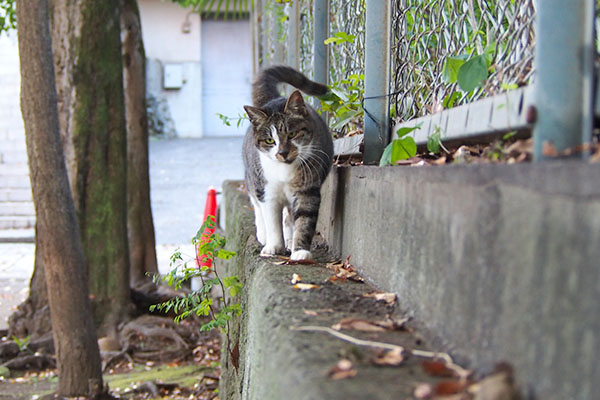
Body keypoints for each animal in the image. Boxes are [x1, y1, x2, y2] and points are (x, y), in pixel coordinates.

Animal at [241, 65, 332, 260]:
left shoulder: (307, 189)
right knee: (257, 204)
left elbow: (304, 220)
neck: (284, 170)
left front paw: (300, 250)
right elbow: (272, 221)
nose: (282, 153)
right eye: (270, 140)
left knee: (288, 217)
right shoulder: (267, 191)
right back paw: (263, 234)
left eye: (292, 134)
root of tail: (273, 99)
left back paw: (290, 240)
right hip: (252, 177)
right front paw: (274, 246)